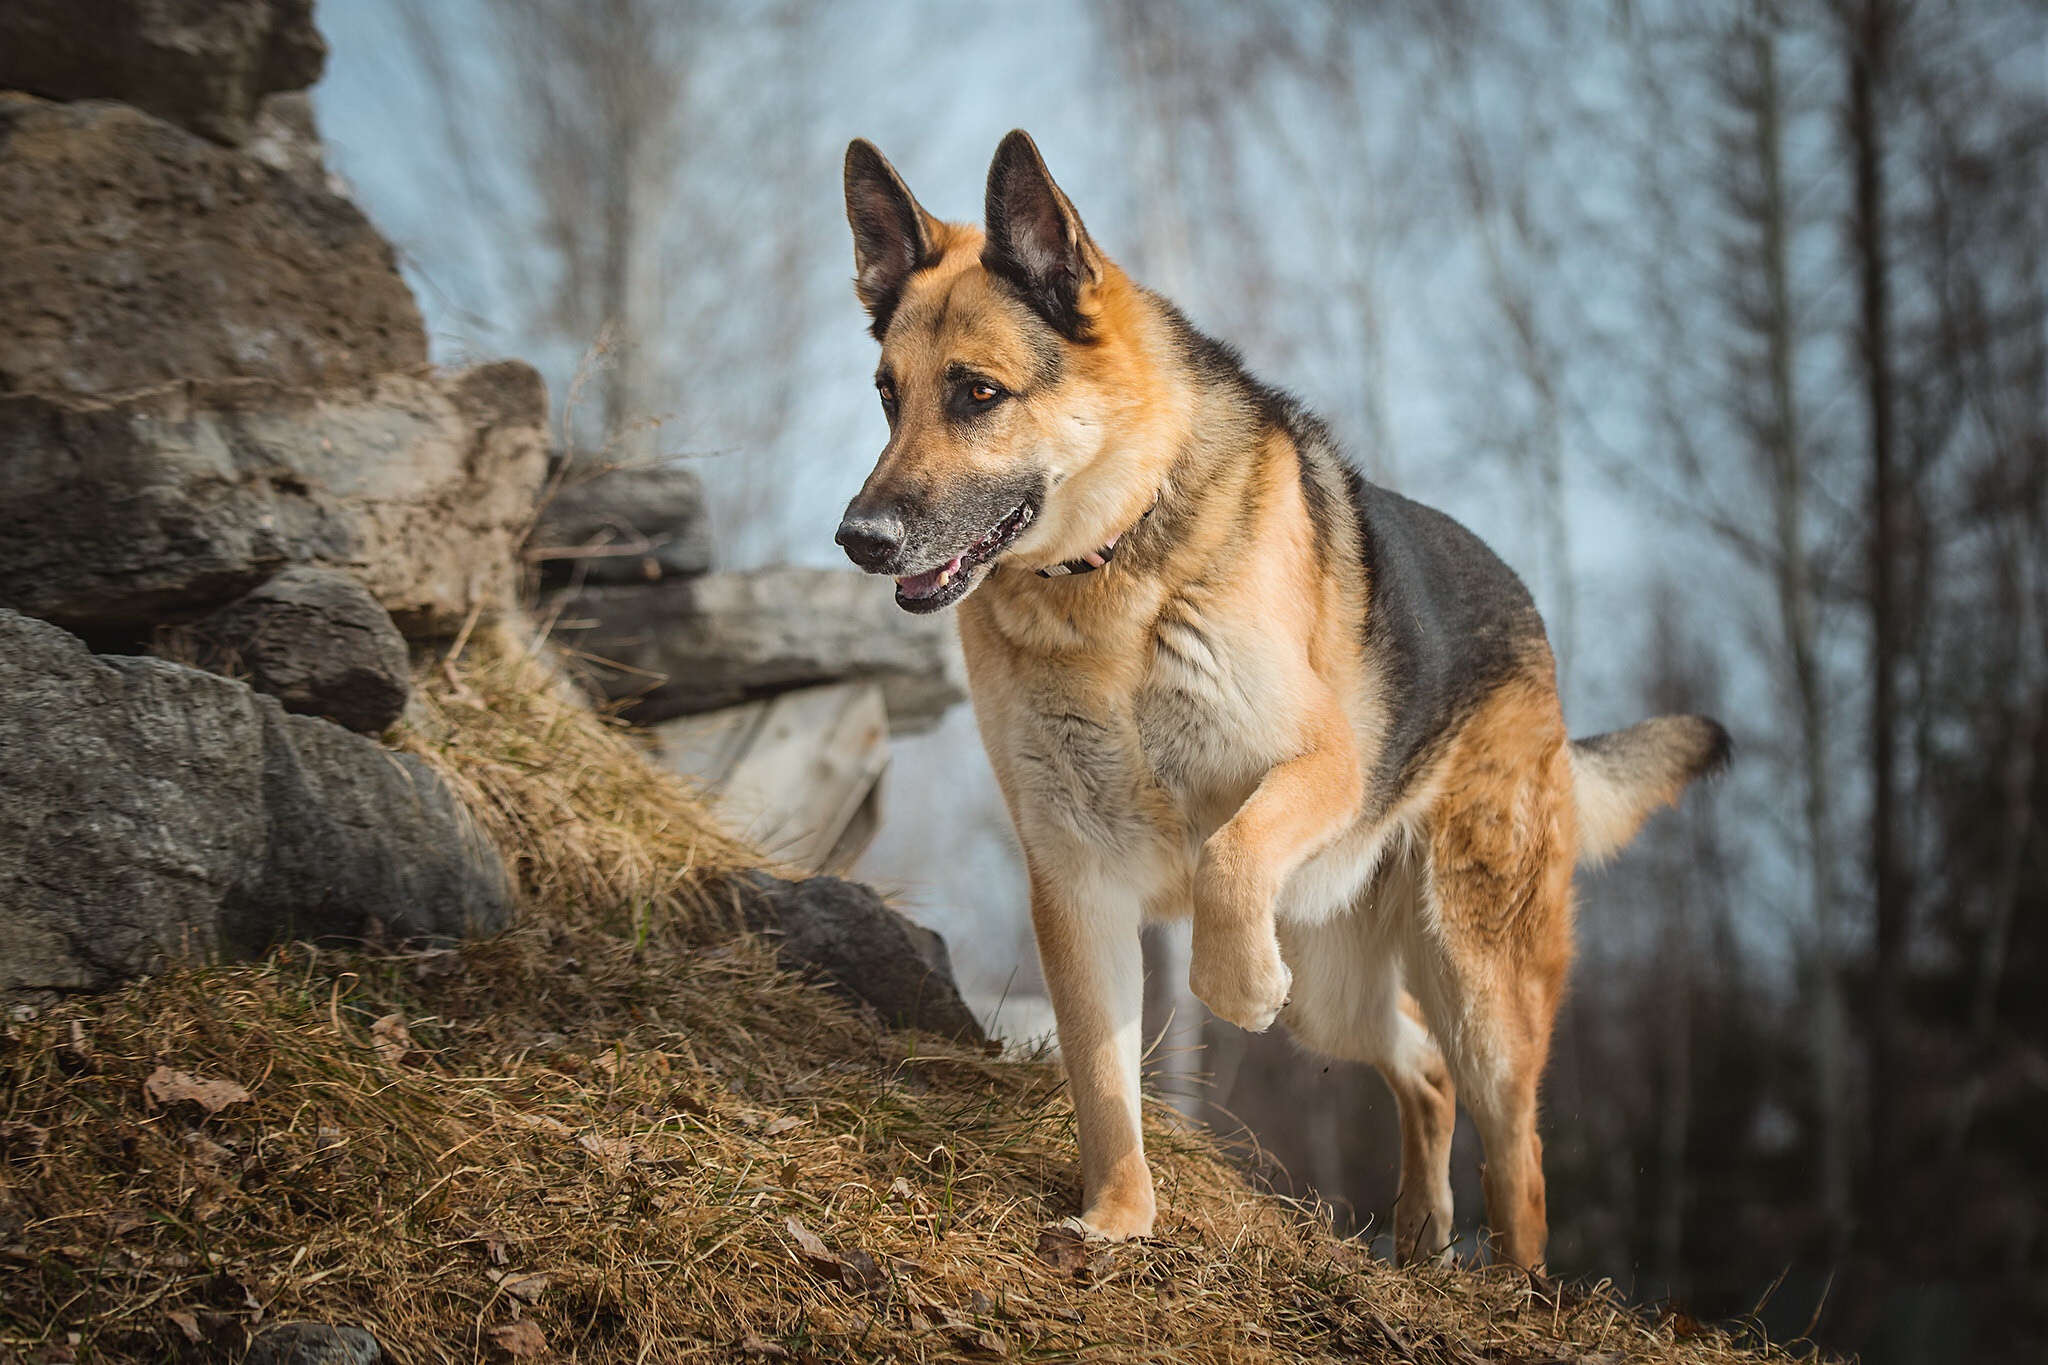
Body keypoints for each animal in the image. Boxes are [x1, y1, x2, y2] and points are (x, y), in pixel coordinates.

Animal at [831, 130, 1728, 1268]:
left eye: (978, 394)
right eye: (885, 395)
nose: (857, 540)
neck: (1110, 577)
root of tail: (1533, 628)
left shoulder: (1320, 768)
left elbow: (1226, 855)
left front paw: (1234, 985)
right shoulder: (1074, 881)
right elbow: (1101, 1079)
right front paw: (1117, 1219)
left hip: (1481, 984)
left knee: (1516, 1151)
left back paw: (1515, 1284)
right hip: (1339, 995)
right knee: (1425, 1070)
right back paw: (1421, 1242)